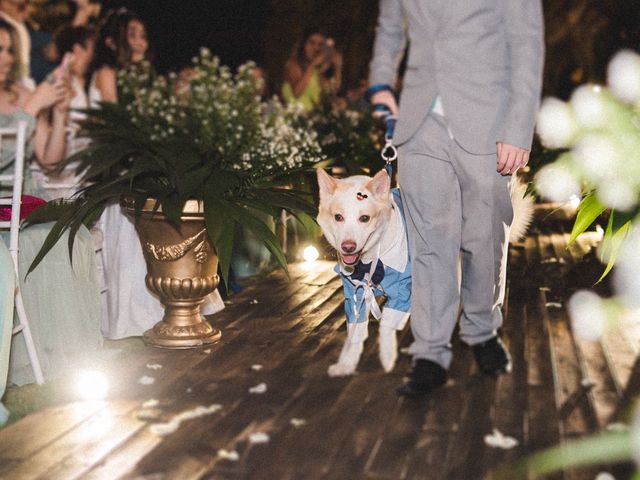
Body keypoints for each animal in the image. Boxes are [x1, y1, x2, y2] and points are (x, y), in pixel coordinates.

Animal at [318, 167, 532, 376]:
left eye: (364, 218)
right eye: (338, 217)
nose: (348, 247)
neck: (372, 258)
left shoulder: (405, 291)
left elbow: (386, 324)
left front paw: (387, 358)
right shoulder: (354, 293)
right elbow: (355, 332)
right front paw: (346, 364)